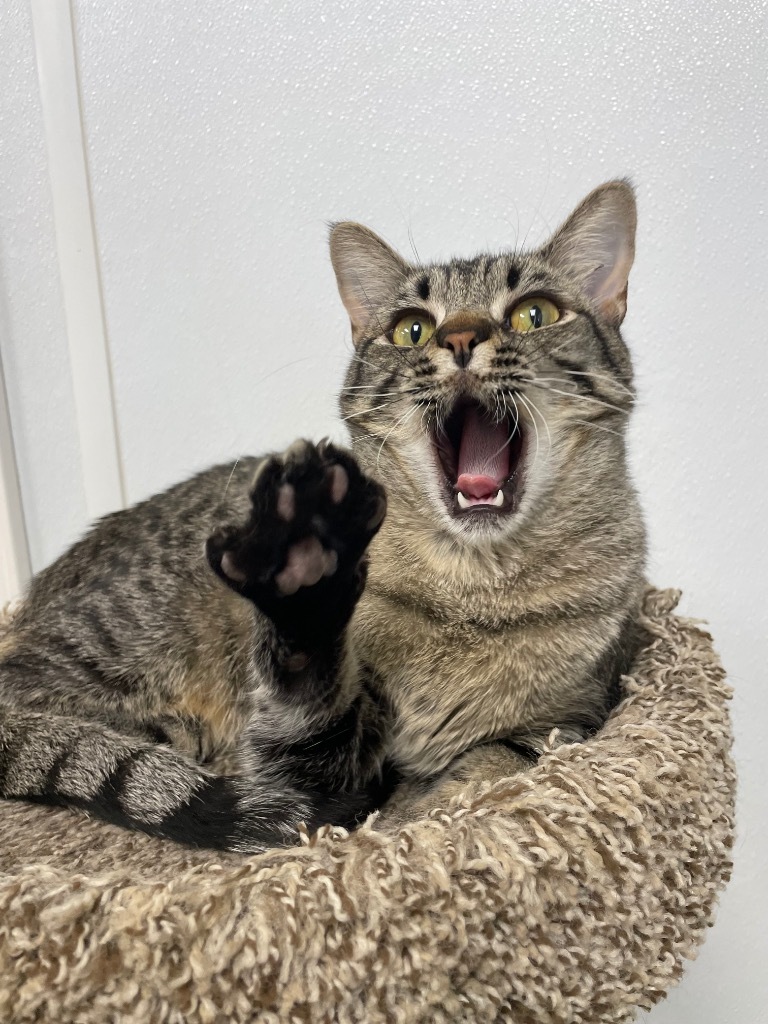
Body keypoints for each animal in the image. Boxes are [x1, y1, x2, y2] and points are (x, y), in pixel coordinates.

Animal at [0, 180, 651, 851]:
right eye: (412, 329)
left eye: (534, 313)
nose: (460, 340)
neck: (472, 590)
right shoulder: (307, 774)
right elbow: (312, 724)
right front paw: (306, 582)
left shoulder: (572, 719)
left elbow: (492, 763)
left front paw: (429, 813)